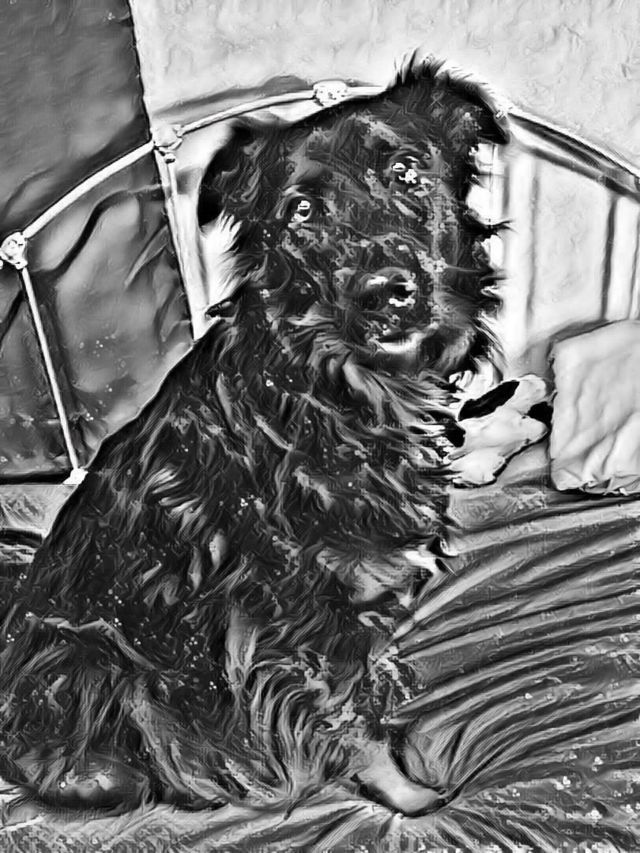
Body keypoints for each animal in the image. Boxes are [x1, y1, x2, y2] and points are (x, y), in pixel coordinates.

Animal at [0, 56, 508, 817]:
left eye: (406, 171)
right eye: (301, 212)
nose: (383, 293)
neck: (333, 389)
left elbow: (372, 668)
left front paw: (391, 685)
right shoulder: (300, 608)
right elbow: (352, 715)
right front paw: (405, 796)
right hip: (97, 658)